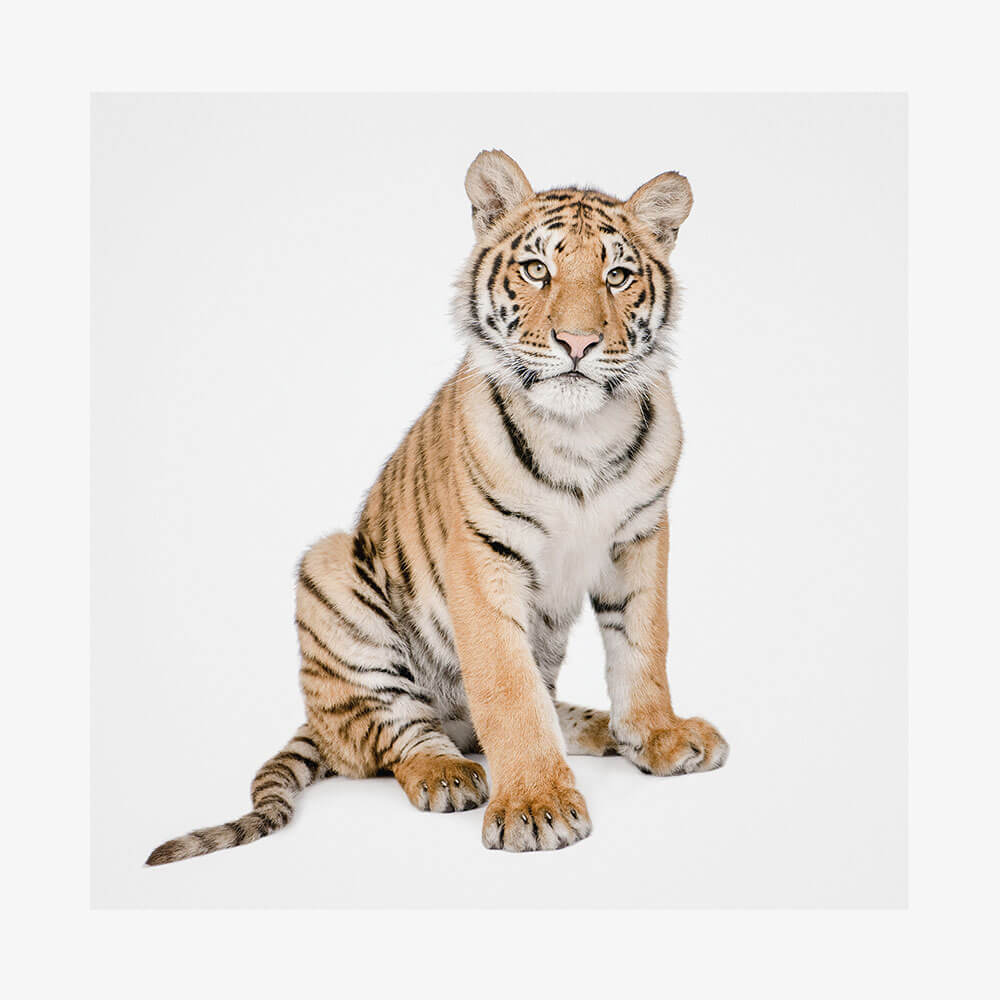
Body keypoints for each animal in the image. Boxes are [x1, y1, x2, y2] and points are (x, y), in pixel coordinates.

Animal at [146, 149, 728, 864]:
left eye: (617, 276)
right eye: (538, 269)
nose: (577, 343)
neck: (580, 432)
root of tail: (315, 721)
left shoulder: (639, 538)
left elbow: (644, 647)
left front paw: (658, 736)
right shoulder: (482, 556)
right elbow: (506, 688)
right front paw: (536, 805)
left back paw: (595, 727)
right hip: (330, 573)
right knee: (394, 737)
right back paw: (448, 772)